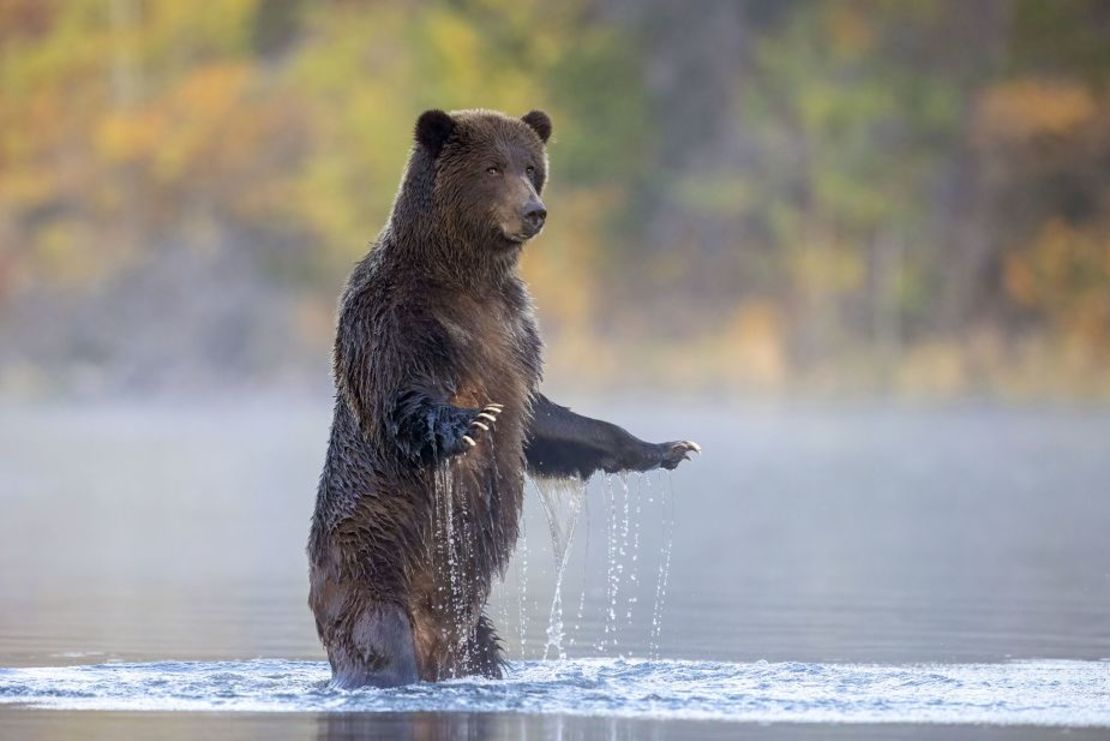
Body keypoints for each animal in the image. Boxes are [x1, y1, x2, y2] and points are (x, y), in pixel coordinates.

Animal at [308, 107, 697, 687]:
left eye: (531, 167)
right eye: (492, 168)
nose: (534, 211)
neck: (463, 277)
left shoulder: (514, 336)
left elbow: (545, 422)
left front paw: (667, 448)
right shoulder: (393, 318)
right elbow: (400, 397)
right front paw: (469, 423)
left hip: (473, 630)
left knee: (484, 653)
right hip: (371, 573)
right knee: (379, 644)